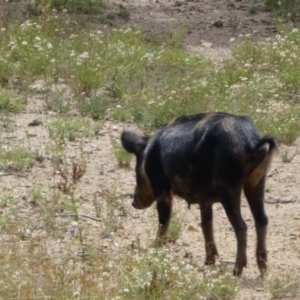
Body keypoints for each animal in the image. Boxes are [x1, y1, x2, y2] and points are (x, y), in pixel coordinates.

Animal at [121, 111, 276, 276]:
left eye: (136, 171)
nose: (133, 202)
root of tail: (251, 143)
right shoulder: (205, 199)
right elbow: (206, 225)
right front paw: (208, 262)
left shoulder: (162, 188)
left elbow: (163, 222)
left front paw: (154, 247)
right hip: (257, 181)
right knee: (262, 219)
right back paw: (263, 270)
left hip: (227, 182)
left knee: (241, 226)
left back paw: (236, 271)